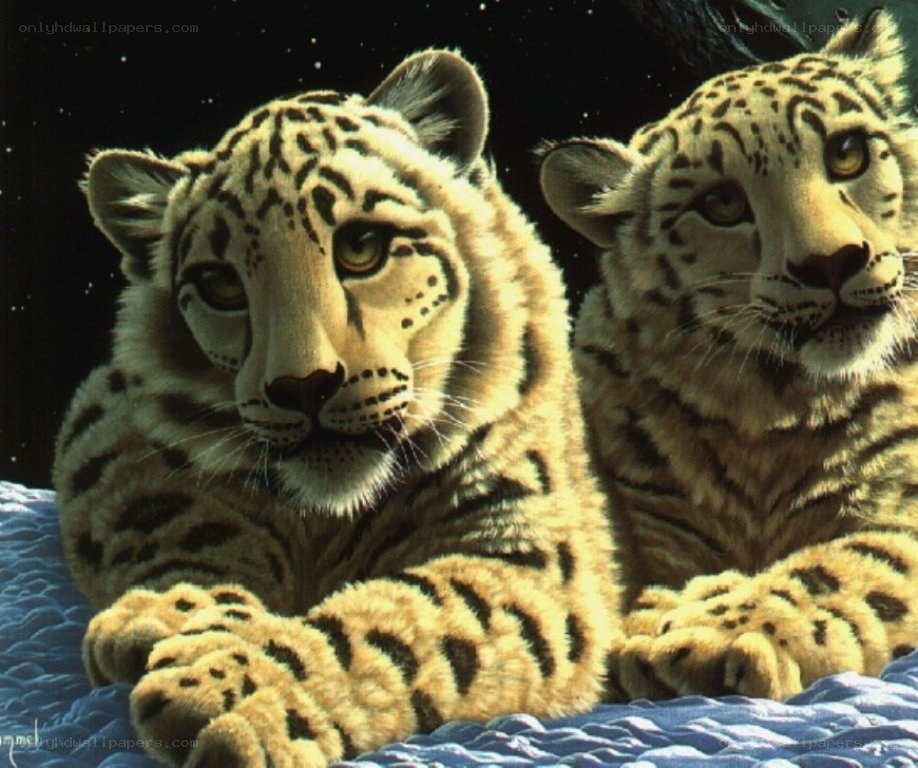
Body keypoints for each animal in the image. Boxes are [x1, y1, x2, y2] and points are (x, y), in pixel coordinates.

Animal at [53, 50, 618, 766]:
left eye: (361, 245)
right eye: (218, 283)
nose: (304, 385)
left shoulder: (524, 545)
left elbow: (409, 623)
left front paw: (235, 694)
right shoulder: (107, 418)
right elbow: (168, 512)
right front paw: (168, 614)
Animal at [539, 9, 918, 701]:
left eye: (846, 152)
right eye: (720, 204)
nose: (831, 262)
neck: (770, 422)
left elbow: (849, 562)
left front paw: (702, 635)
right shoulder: (647, 521)